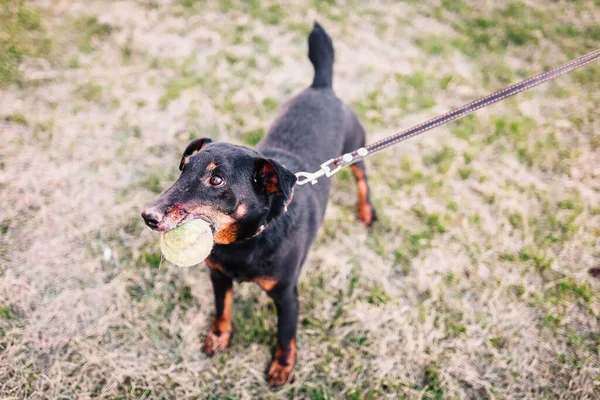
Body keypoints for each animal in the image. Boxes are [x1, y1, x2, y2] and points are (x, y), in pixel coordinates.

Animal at [142, 22, 376, 388]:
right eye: (184, 168)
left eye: (216, 180)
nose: (148, 216)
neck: (244, 242)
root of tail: (322, 86)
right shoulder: (218, 276)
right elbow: (222, 310)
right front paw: (219, 337)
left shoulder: (286, 294)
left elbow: (285, 334)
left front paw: (282, 367)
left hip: (356, 151)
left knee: (362, 180)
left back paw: (366, 212)